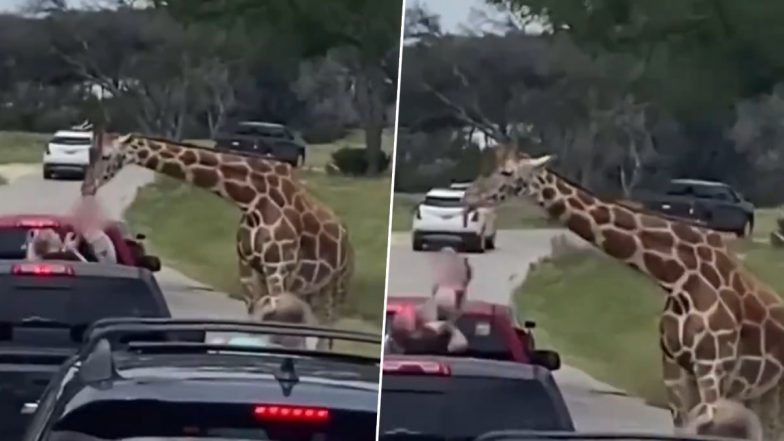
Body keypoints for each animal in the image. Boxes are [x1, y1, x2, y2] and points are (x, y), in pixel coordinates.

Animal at [80, 131, 356, 336]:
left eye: (105, 155)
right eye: (89, 153)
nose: (86, 188)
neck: (252, 199)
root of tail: (347, 239)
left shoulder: (278, 270)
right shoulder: (248, 270)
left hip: (337, 288)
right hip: (311, 291)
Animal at [466, 144, 784, 436]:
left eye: (507, 172)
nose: (468, 196)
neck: (679, 276)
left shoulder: (713, 366)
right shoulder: (675, 370)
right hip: (762, 393)